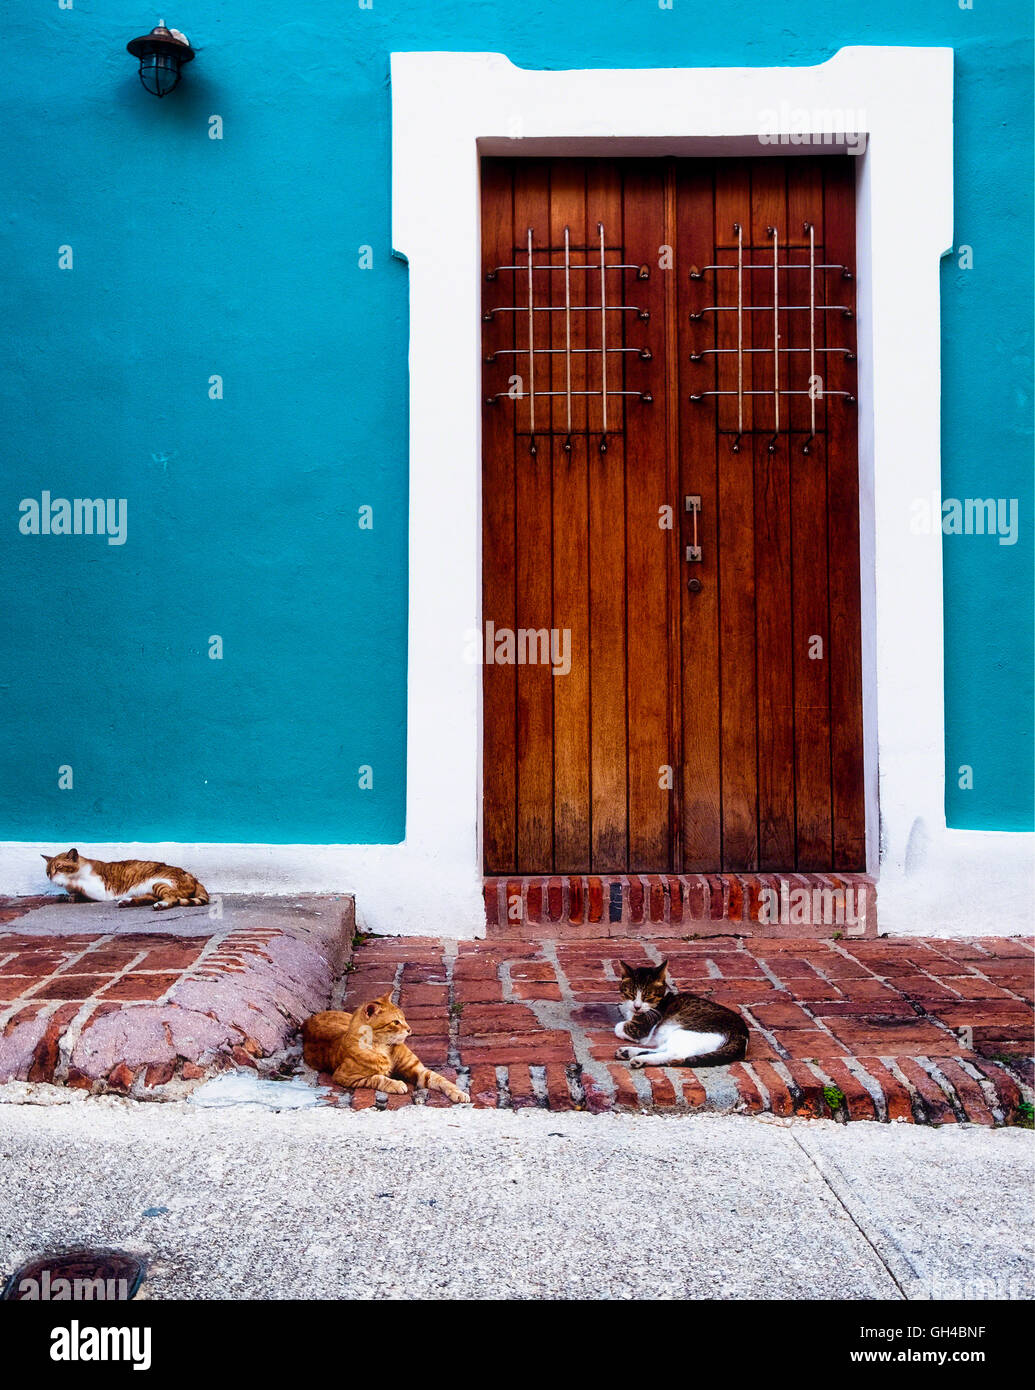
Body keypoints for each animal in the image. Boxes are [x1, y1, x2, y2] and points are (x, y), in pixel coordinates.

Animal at [42, 845, 208, 911]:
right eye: (48, 872)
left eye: (58, 867)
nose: (51, 878)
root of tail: (192, 876)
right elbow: (75, 894)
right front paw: (69, 896)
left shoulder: (100, 890)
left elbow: (80, 887)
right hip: (153, 888)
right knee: (150, 898)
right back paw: (128, 902)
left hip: (160, 883)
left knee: (172, 898)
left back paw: (161, 905)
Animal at [302, 995, 472, 1100]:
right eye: (396, 1022)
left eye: (404, 1018)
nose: (410, 1029)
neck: (384, 1047)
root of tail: (308, 1020)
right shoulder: (344, 1076)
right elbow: (376, 1078)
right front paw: (396, 1084)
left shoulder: (419, 1071)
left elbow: (442, 1079)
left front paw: (458, 1092)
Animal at [608, 961, 744, 1067]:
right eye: (631, 994)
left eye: (648, 996)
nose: (637, 1006)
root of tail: (742, 1034)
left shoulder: (640, 1029)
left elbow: (619, 1027)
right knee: (662, 1050)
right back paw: (628, 1052)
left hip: (685, 1032)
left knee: (673, 1054)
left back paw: (639, 1059)